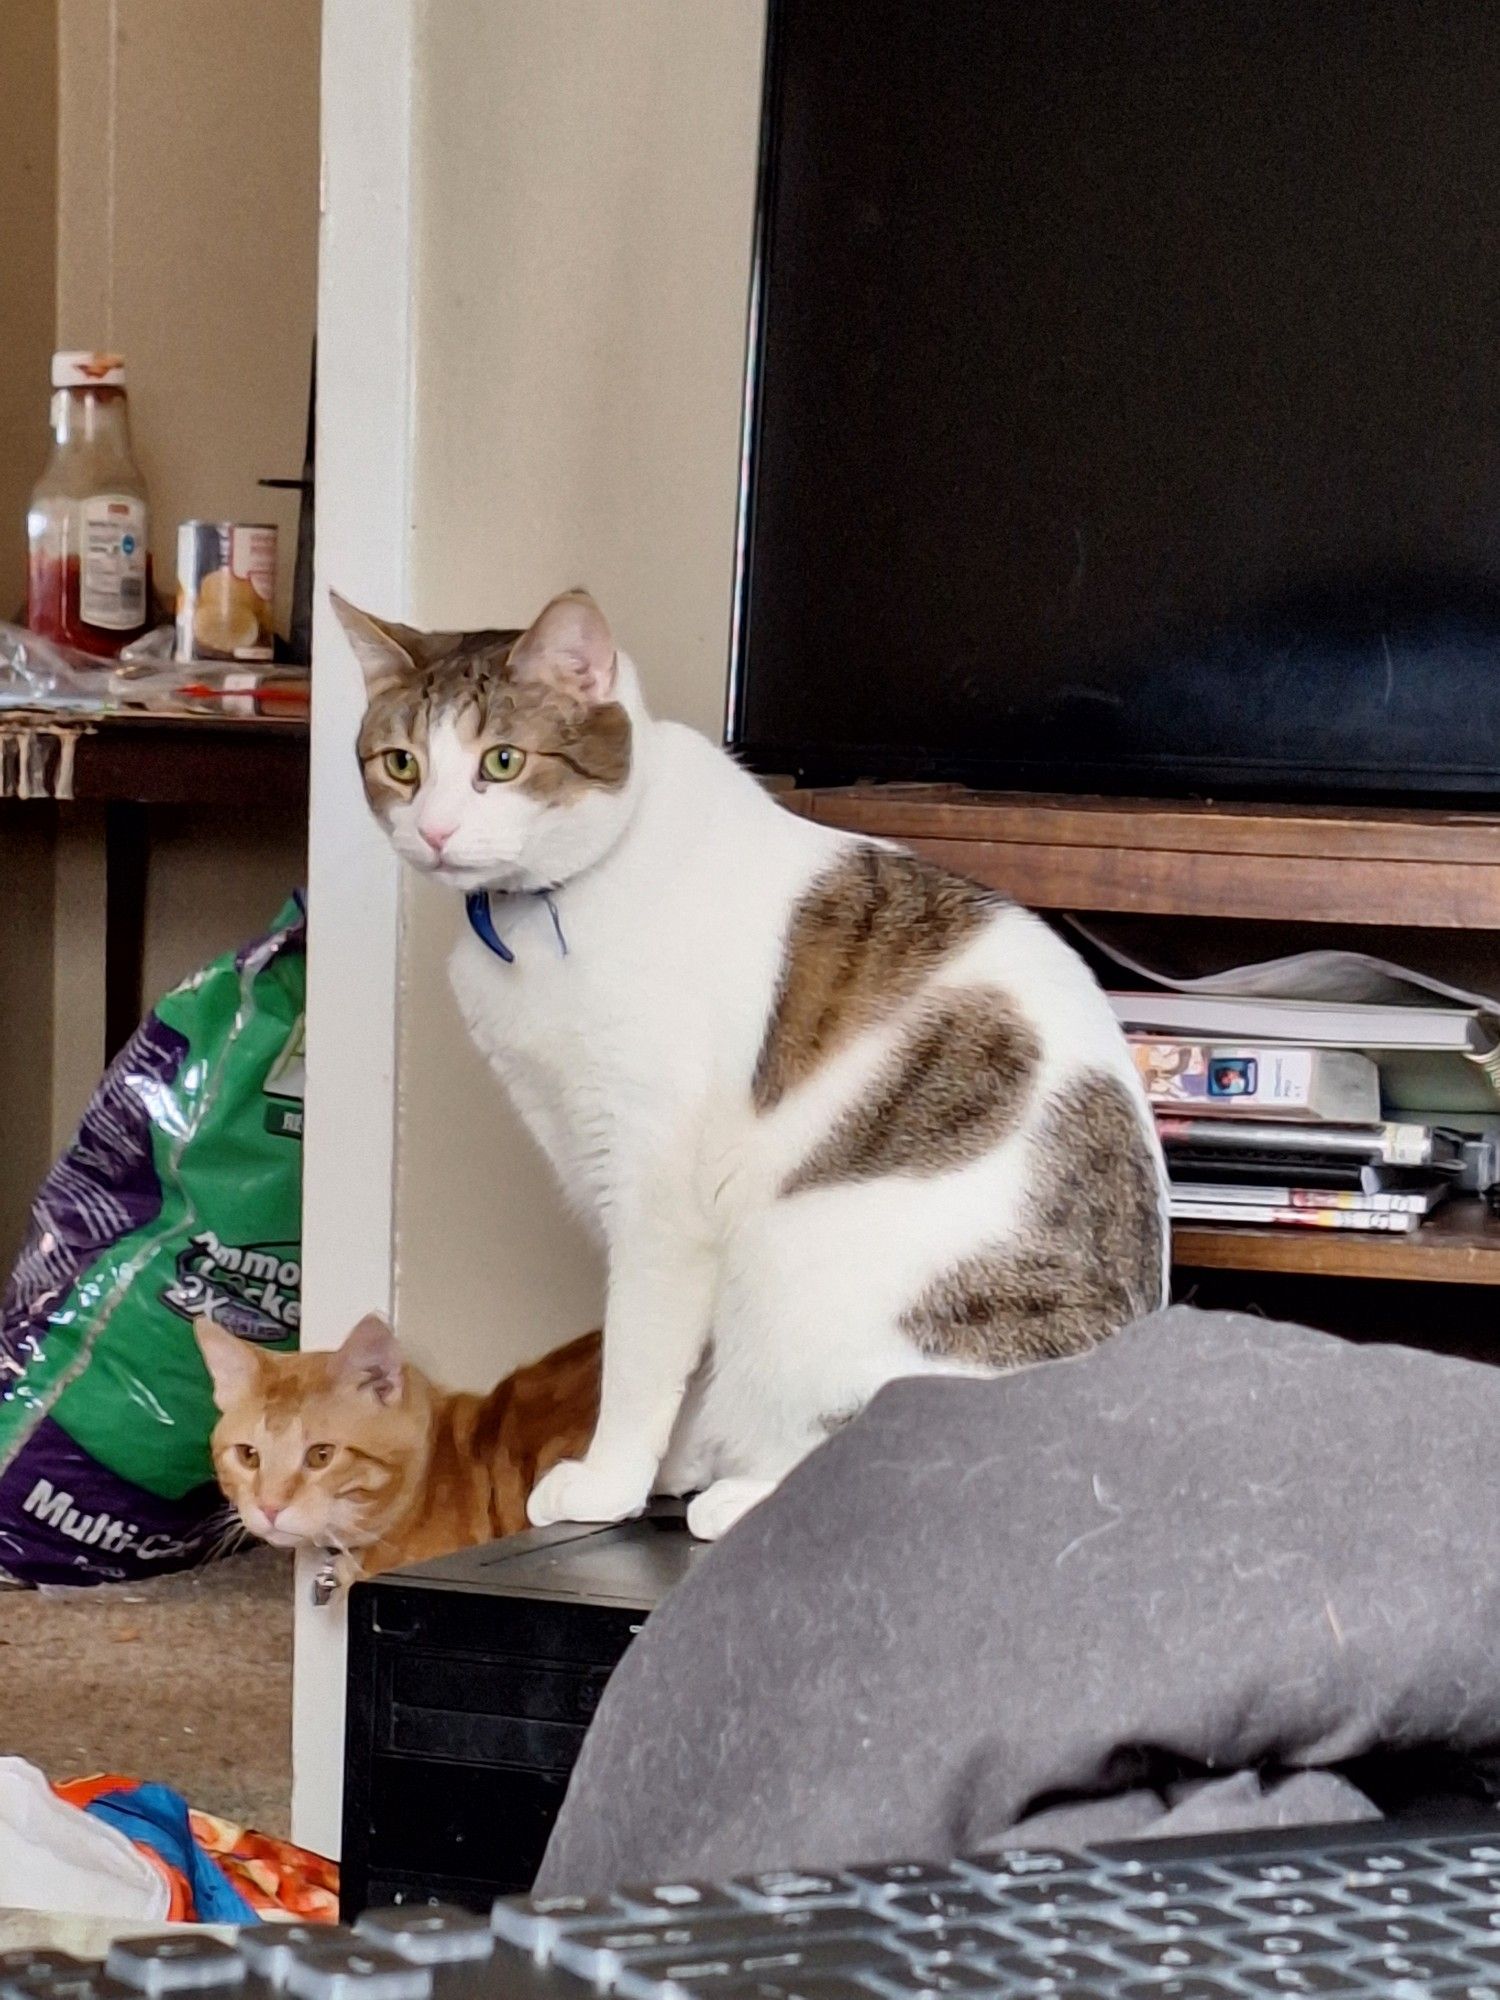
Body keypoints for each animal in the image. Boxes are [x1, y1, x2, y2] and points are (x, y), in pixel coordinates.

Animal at [334, 584, 1168, 1536]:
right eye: (401, 764)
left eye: (501, 762)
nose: (434, 831)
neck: (544, 914)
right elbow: (680, 1365)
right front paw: (673, 1459)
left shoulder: (655, 1193)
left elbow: (637, 1354)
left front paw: (608, 1479)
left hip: (805, 1266)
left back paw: (746, 1496)